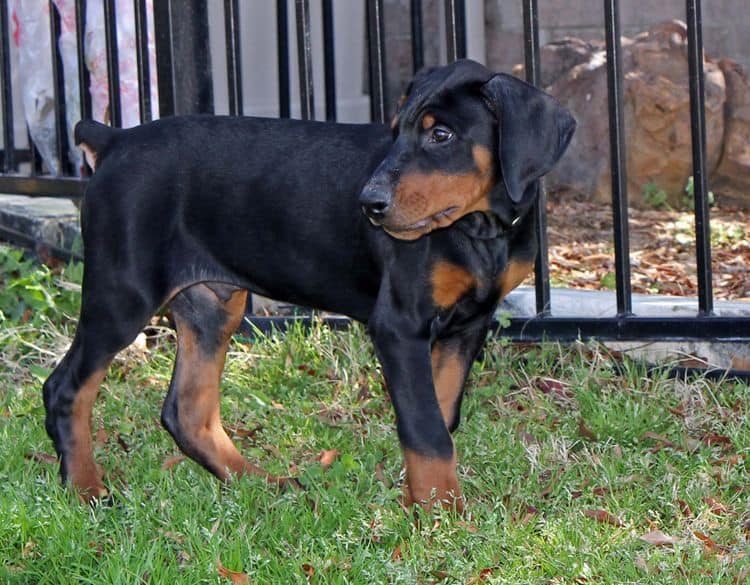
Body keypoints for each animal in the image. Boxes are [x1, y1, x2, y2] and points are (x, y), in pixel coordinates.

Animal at [42, 57, 576, 508]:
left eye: (441, 135)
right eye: (396, 132)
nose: (369, 203)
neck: (480, 229)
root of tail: (114, 141)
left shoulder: (467, 326)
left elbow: (439, 414)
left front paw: (421, 501)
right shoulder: (399, 325)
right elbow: (426, 428)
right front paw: (444, 517)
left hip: (212, 305)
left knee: (186, 410)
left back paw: (262, 483)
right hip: (123, 293)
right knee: (65, 388)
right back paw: (86, 489)